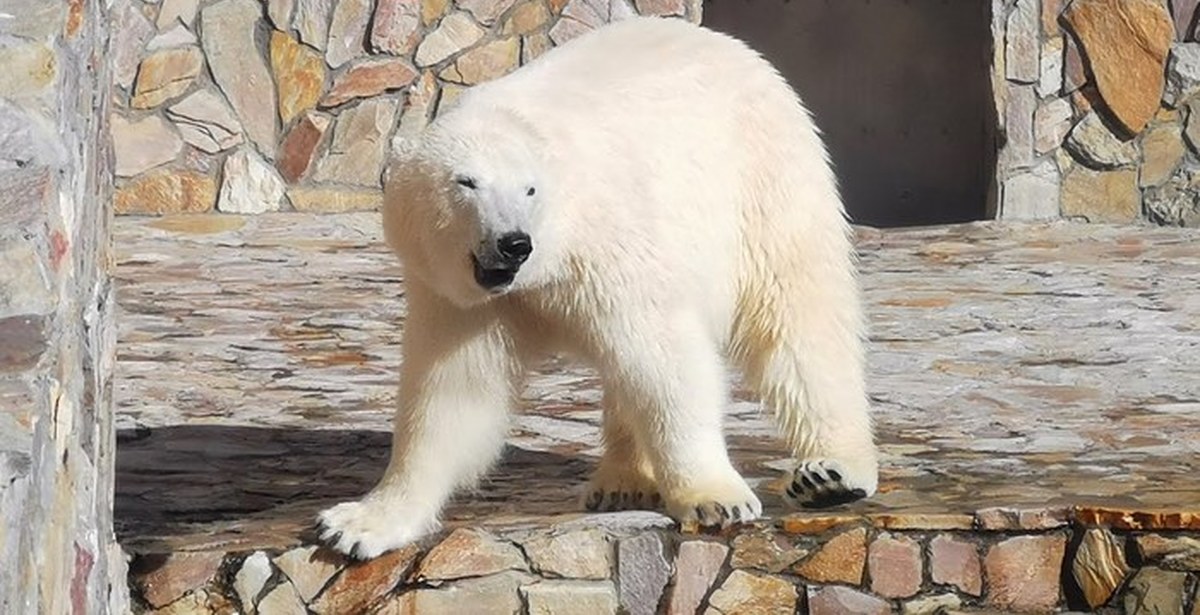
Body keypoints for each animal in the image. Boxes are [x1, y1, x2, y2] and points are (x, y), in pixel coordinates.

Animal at [319, 15, 883, 562]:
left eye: (529, 189)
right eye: (466, 182)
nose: (513, 243)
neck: (549, 258)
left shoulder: (611, 250)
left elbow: (666, 361)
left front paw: (716, 498)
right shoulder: (461, 300)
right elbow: (452, 394)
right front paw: (359, 524)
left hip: (766, 182)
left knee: (798, 320)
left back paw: (832, 473)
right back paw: (623, 481)